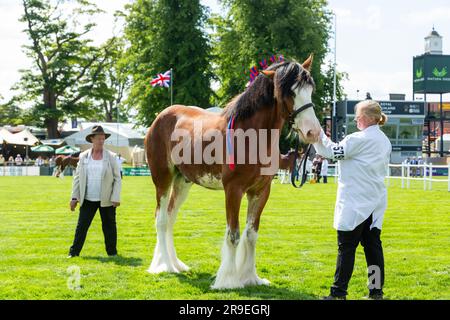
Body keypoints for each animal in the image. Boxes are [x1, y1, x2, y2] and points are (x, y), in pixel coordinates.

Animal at [144, 55, 320, 290]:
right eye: (289, 92)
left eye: (311, 89)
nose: (313, 132)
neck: (252, 136)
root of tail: (160, 117)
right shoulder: (233, 190)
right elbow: (233, 235)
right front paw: (228, 280)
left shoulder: (261, 191)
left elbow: (251, 234)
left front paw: (250, 277)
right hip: (162, 179)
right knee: (161, 219)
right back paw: (165, 267)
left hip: (183, 182)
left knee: (171, 217)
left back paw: (175, 263)